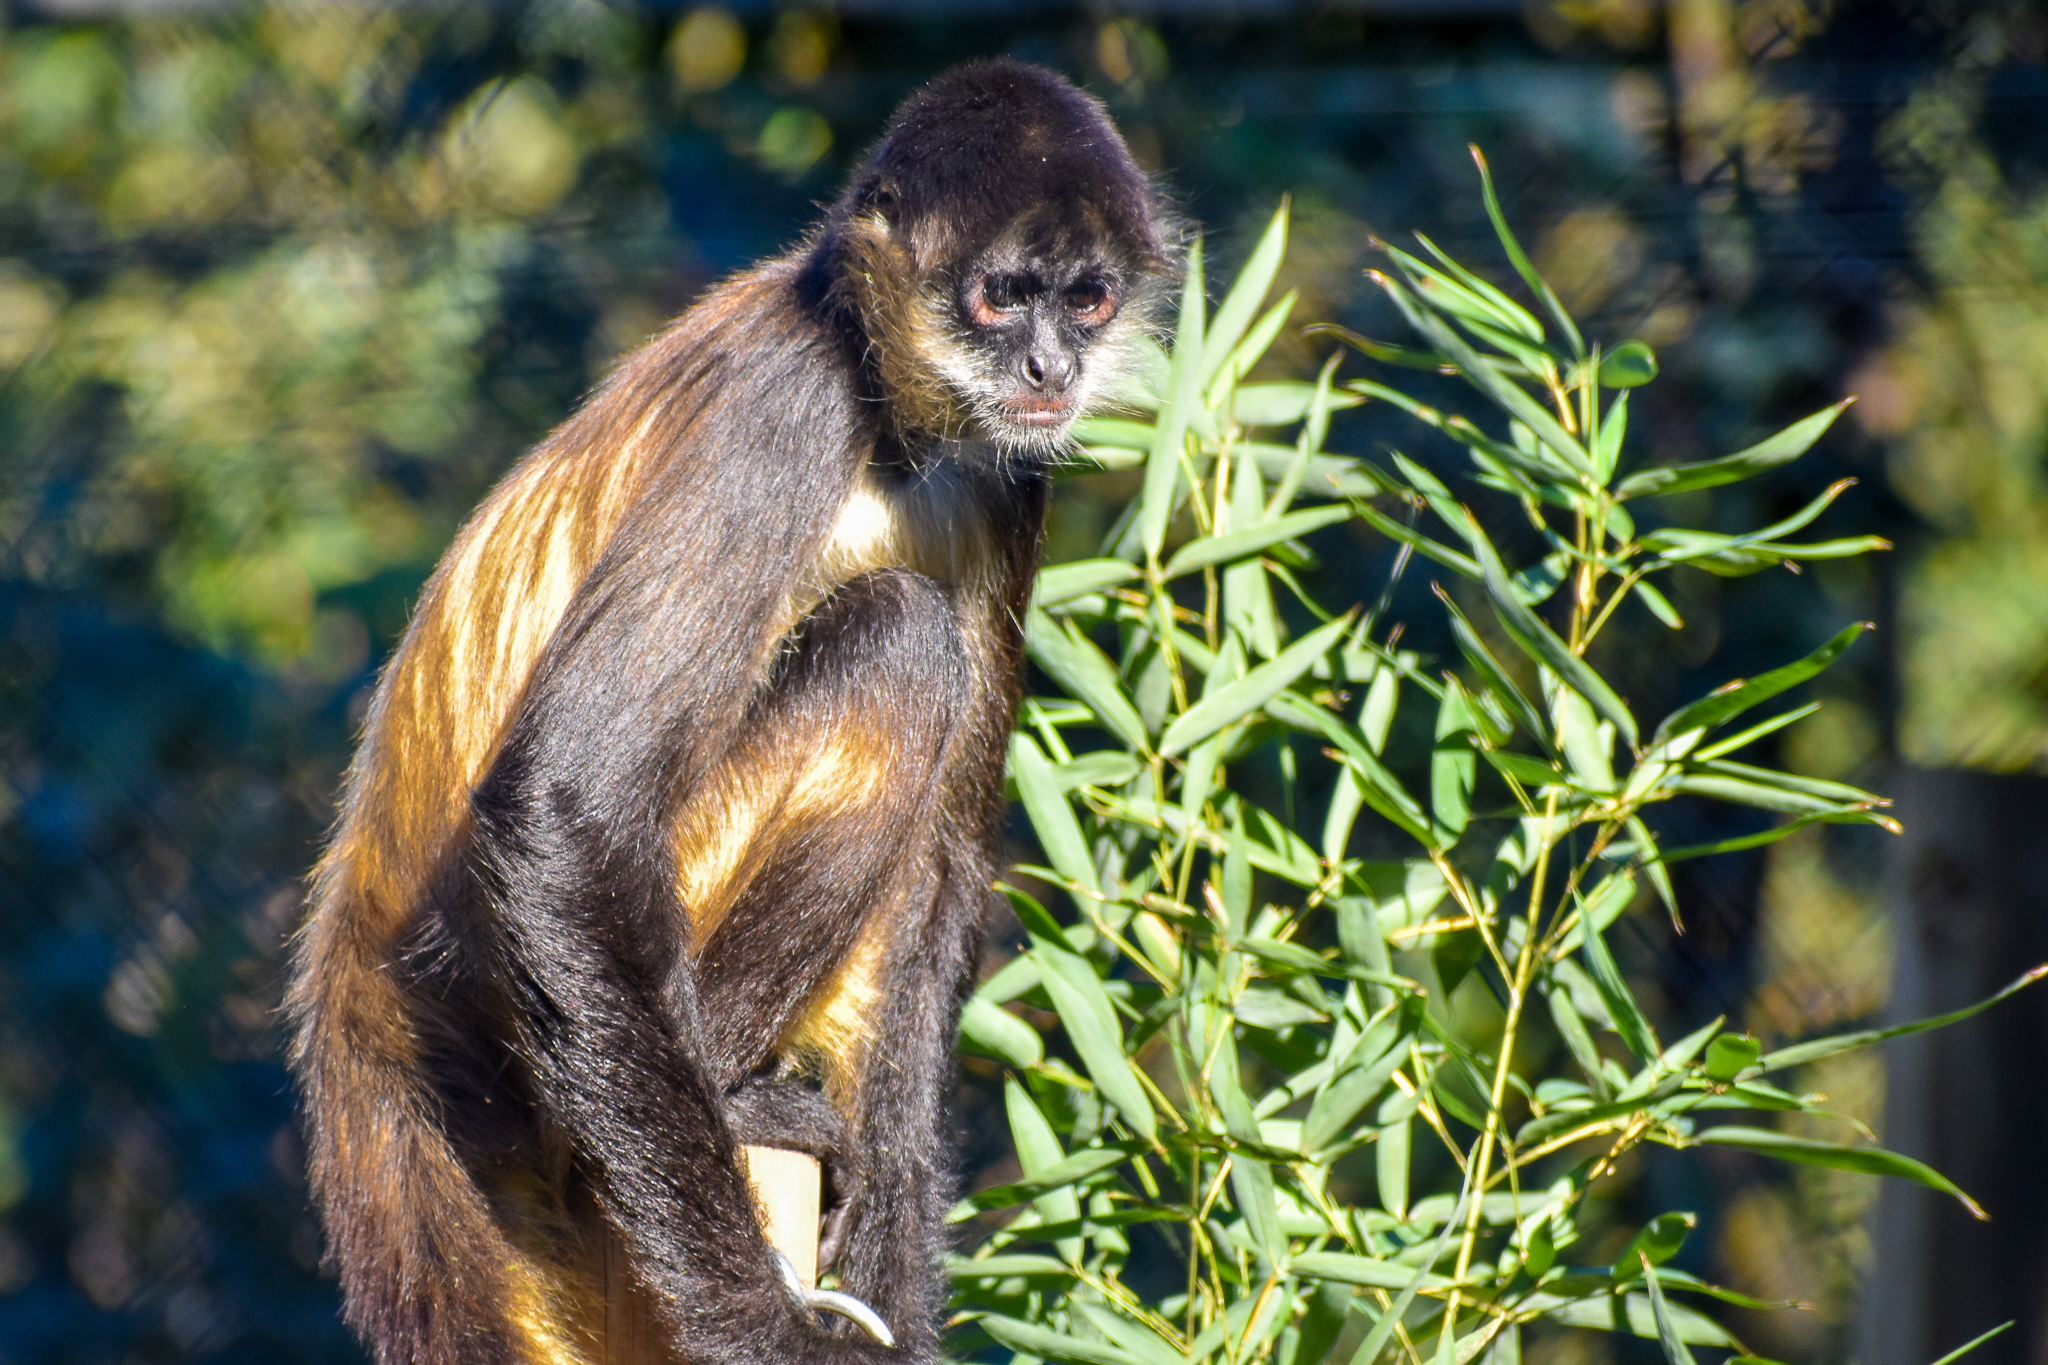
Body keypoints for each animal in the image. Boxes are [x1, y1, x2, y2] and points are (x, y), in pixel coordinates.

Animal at [285, 59, 1170, 1365]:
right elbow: (564, 803)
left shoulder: (1013, 475)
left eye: (1089, 301)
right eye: (1003, 298)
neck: (880, 405)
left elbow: (947, 872)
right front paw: (763, 1332)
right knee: (899, 645)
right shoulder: (780, 408)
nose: (1048, 372)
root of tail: (357, 961)